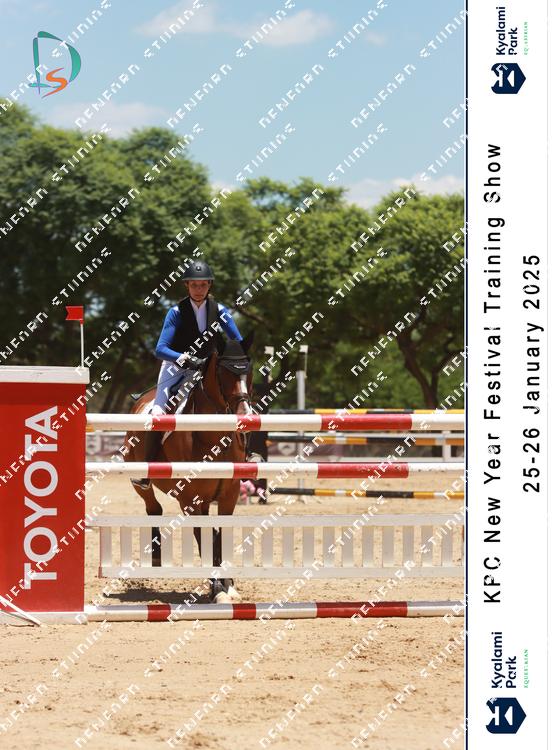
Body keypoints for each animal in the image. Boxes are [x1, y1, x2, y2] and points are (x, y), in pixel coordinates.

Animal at [124, 336, 254, 603]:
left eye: (250, 372)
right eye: (225, 373)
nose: (245, 416)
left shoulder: (229, 496)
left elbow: (219, 536)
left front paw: (227, 584)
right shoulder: (190, 499)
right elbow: (203, 537)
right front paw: (218, 589)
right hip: (141, 481)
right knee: (153, 507)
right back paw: (156, 554)